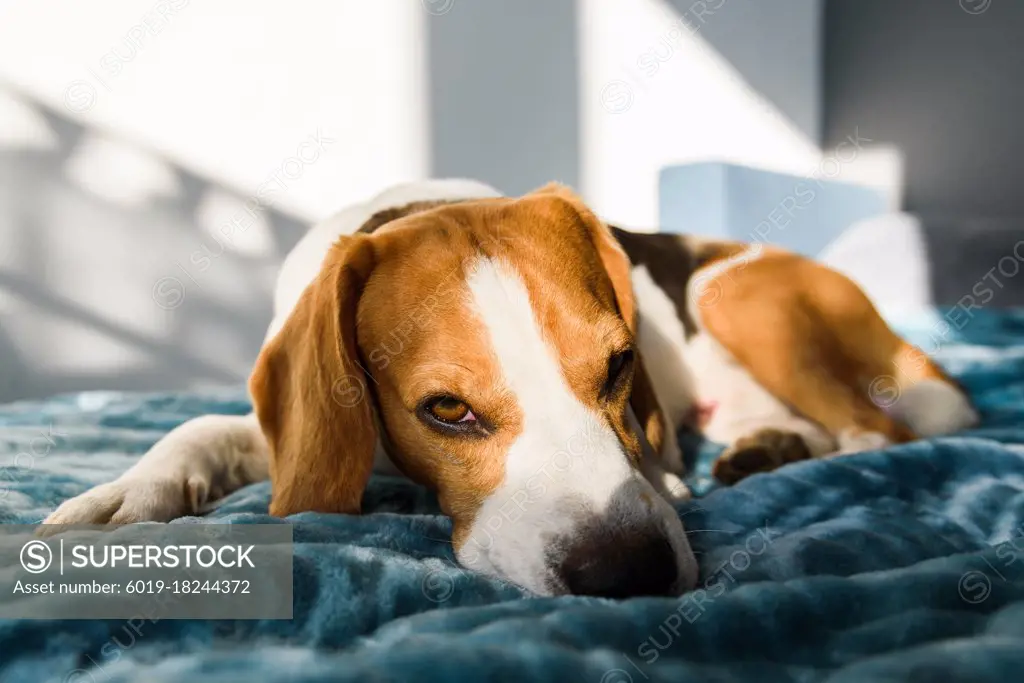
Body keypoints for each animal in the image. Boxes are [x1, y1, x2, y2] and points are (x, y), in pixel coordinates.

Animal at [44, 179, 978, 593]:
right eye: (447, 410)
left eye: (619, 364)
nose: (627, 573)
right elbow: (199, 427)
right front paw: (124, 494)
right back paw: (764, 445)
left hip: (734, 291)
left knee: (876, 432)